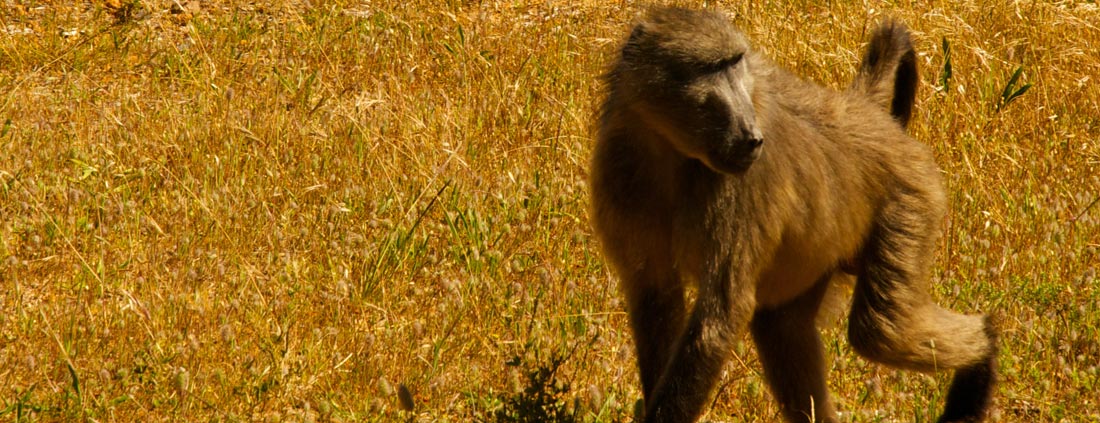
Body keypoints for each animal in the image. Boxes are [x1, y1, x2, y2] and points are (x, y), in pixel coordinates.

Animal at [589, 7, 997, 423]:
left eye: (735, 64)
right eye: (711, 68)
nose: (752, 138)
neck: (669, 150)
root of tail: (867, 116)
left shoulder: (737, 190)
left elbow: (721, 315)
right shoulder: (619, 167)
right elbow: (655, 296)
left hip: (911, 196)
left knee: (882, 330)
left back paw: (984, 350)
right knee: (783, 328)